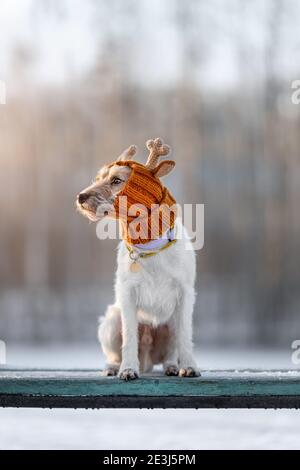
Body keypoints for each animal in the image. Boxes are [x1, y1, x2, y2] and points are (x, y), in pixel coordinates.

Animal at [77, 138, 199, 380]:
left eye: (116, 180)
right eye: (98, 178)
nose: (80, 197)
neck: (150, 245)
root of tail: (148, 360)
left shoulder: (185, 294)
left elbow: (184, 336)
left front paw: (189, 366)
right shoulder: (127, 295)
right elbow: (129, 338)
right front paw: (128, 369)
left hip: (169, 325)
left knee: (170, 352)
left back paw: (172, 366)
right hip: (111, 321)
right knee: (114, 353)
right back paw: (113, 367)